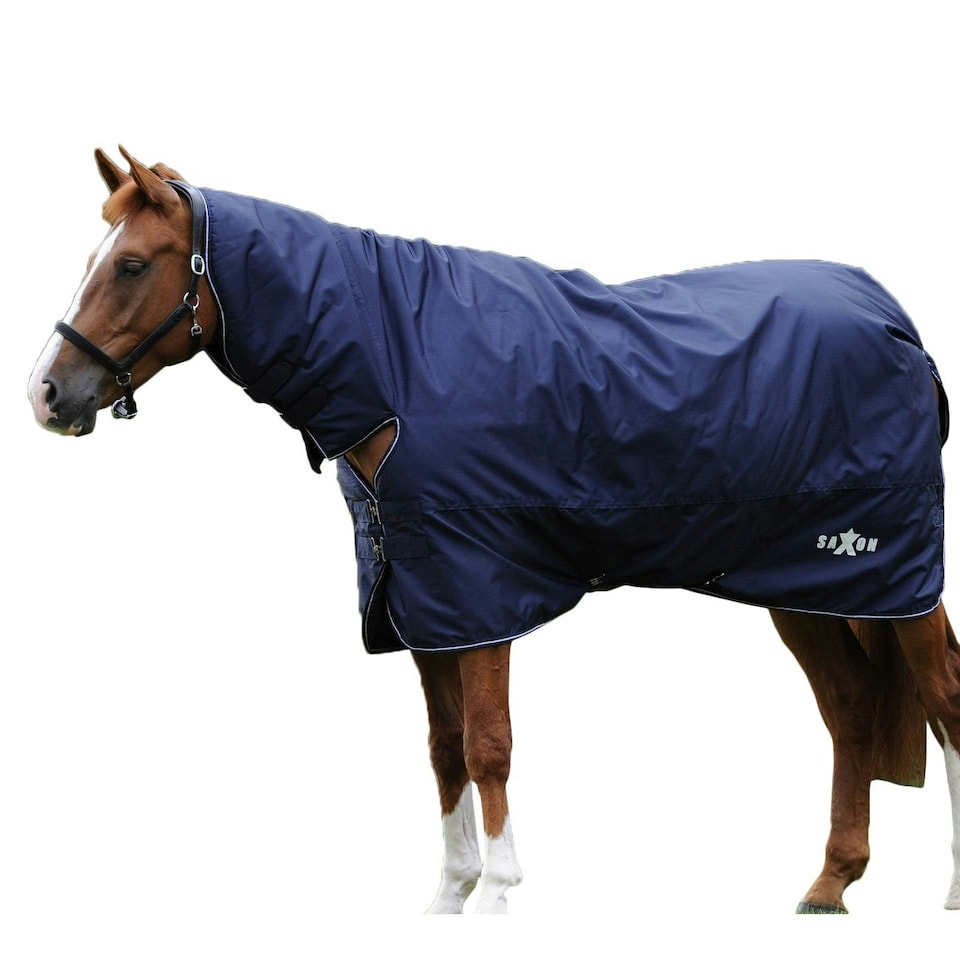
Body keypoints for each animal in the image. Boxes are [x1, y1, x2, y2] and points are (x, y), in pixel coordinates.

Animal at [28, 146, 960, 915]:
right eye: (91, 262)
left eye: (132, 265)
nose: (47, 394)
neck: (398, 367)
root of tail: (895, 319)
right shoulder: (420, 601)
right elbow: (444, 751)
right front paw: (451, 894)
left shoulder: (481, 594)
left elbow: (489, 747)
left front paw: (501, 894)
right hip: (803, 583)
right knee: (849, 705)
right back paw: (831, 882)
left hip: (894, 575)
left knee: (944, 698)